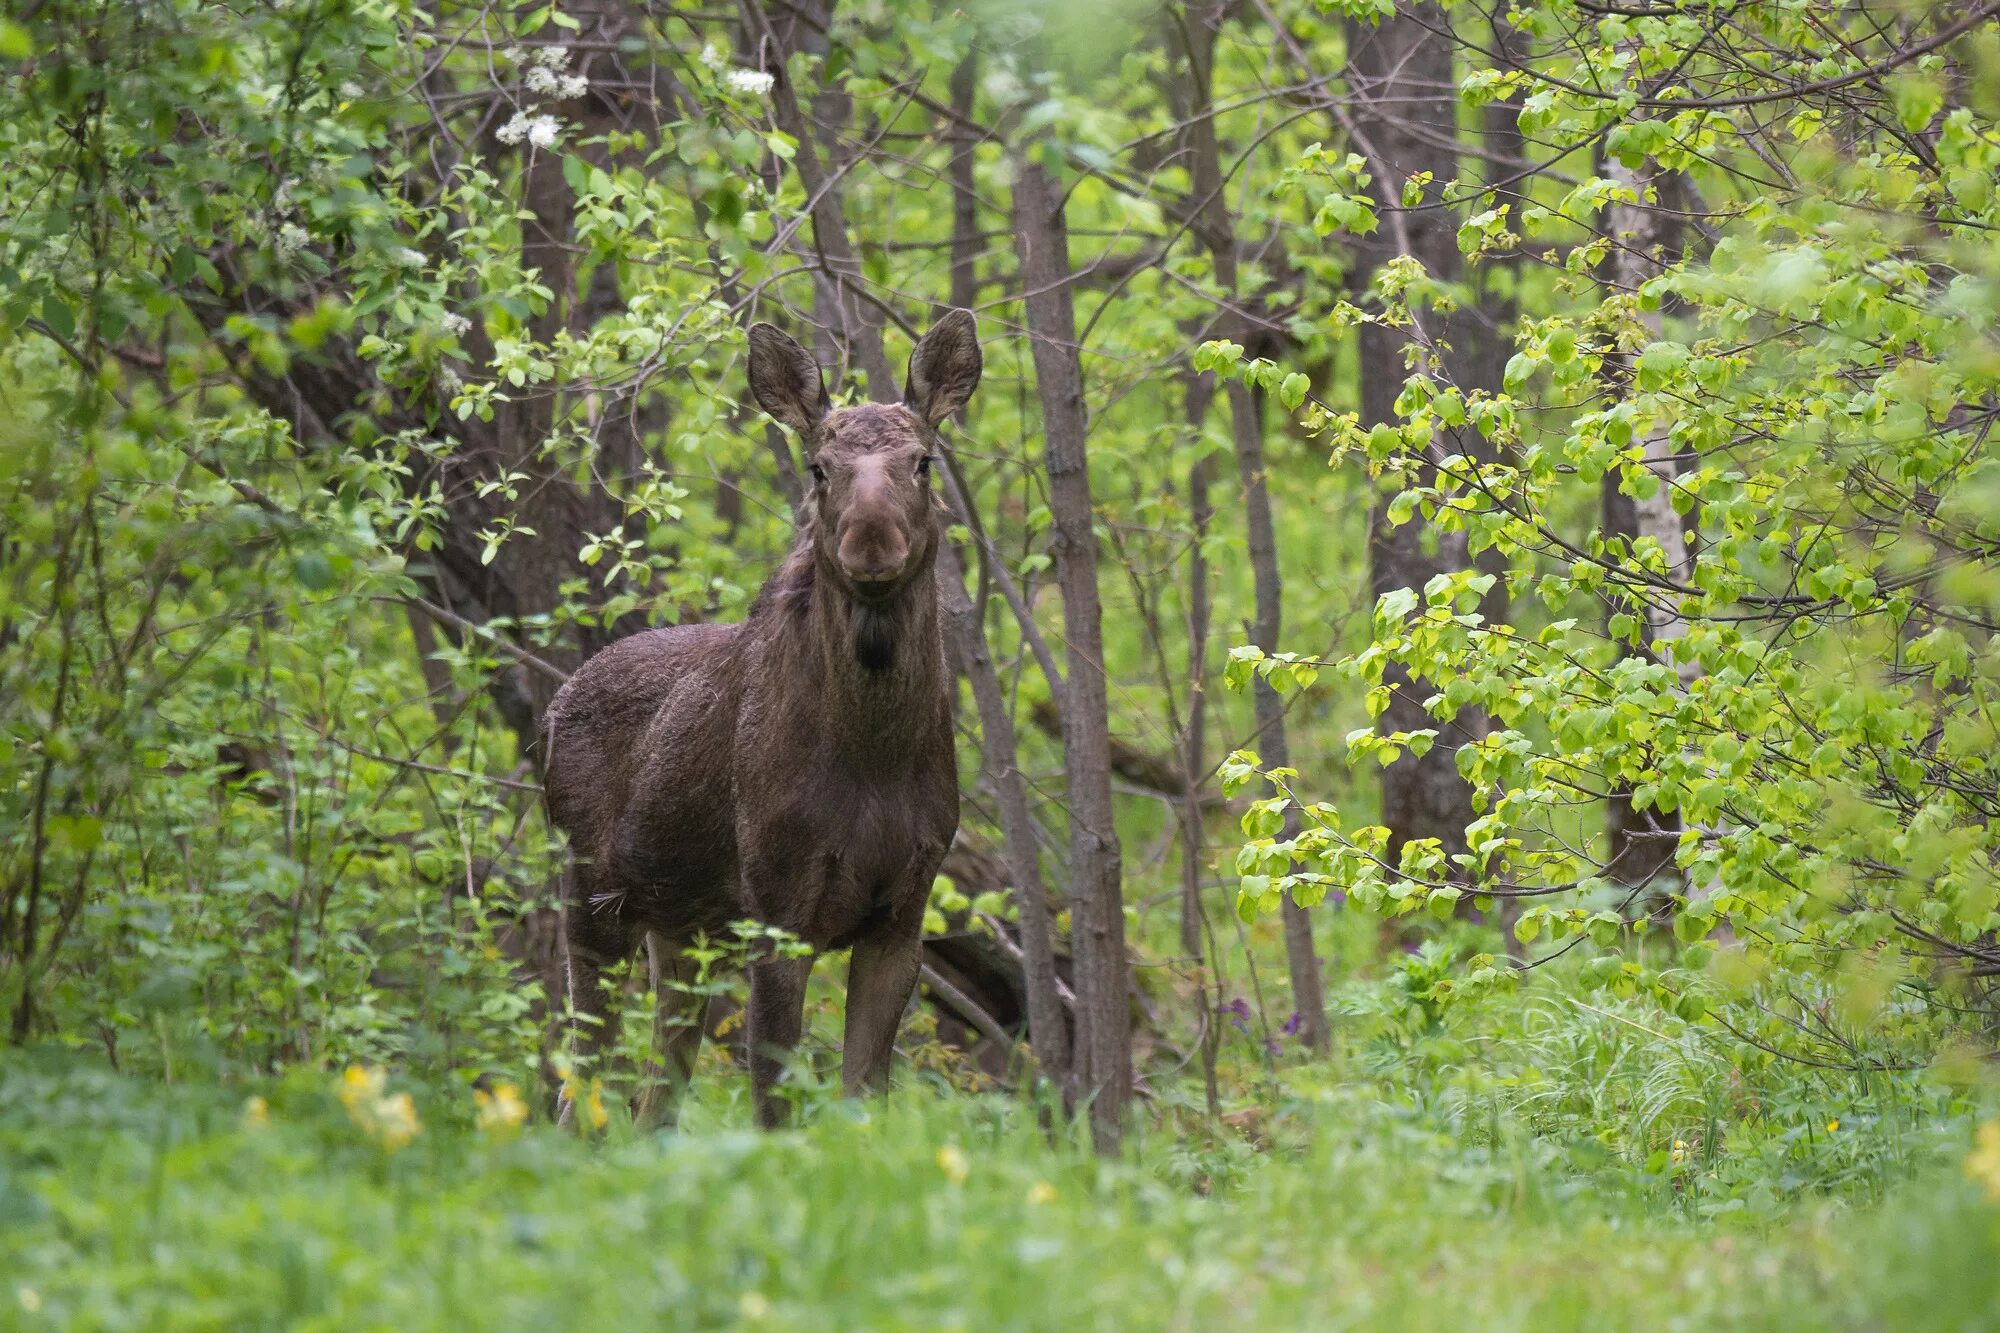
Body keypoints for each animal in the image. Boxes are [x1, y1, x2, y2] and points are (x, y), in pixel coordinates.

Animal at [536, 304, 980, 1120]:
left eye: (923, 461)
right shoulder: (777, 910)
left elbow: (862, 1100)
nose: (872, 539)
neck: (877, 757)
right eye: (819, 467)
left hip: (681, 931)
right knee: (580, 1093)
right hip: (592, 900)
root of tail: (548, 718)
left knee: (652, 1103)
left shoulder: (902, 915)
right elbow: (775, 1103)